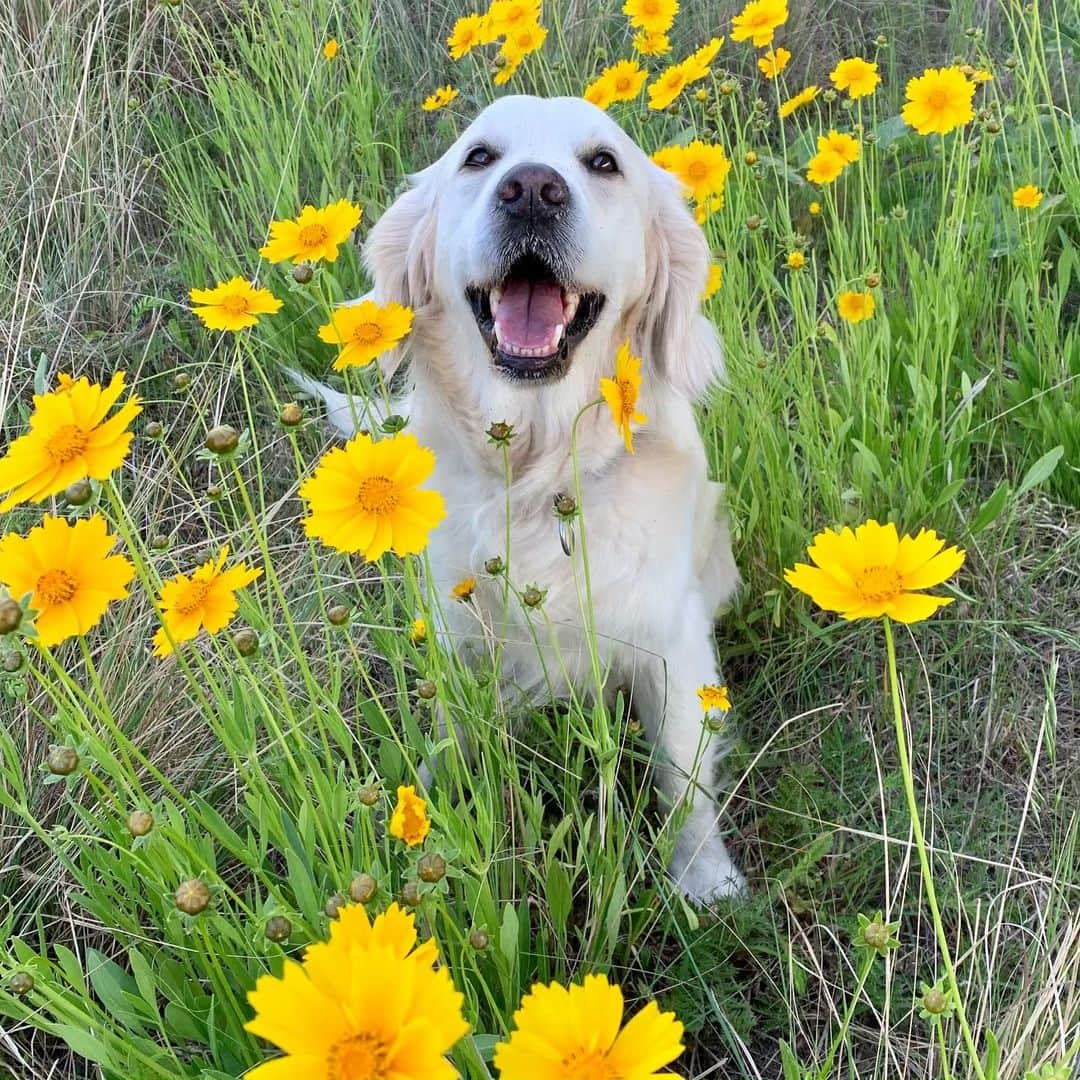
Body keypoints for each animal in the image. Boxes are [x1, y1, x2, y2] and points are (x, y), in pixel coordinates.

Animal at [295, 95, 751, 902]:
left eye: (603, 162)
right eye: (480, 157)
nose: (533, 190)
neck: (536, 477)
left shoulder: (672, 643)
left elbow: (684, 779)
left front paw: (704, 878)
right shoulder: (458, 638)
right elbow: (450, 737)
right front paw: (421, 819)